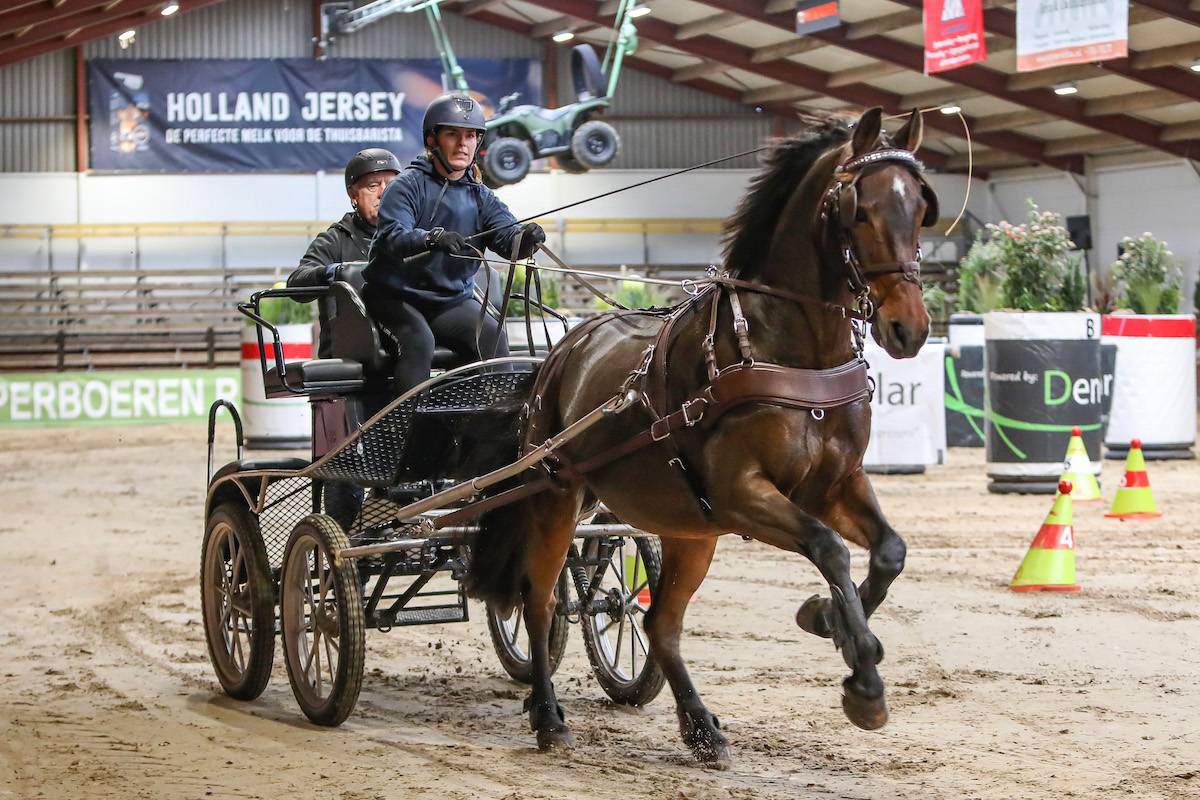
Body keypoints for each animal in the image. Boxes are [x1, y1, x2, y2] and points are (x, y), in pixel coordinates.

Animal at [465, 104, 936, 762]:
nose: (909, 328)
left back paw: (699, 726)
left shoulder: (835, 484)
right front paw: (862, 677)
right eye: (860, 210)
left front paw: (826, 619)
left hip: (688, 526)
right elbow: (831, 549)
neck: (789, 350)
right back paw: (549, 716)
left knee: (658, 623)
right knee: (540, 602)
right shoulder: (743, 493)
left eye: (919, 207)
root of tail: (565, 347)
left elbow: (890, 552)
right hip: (559, 497)